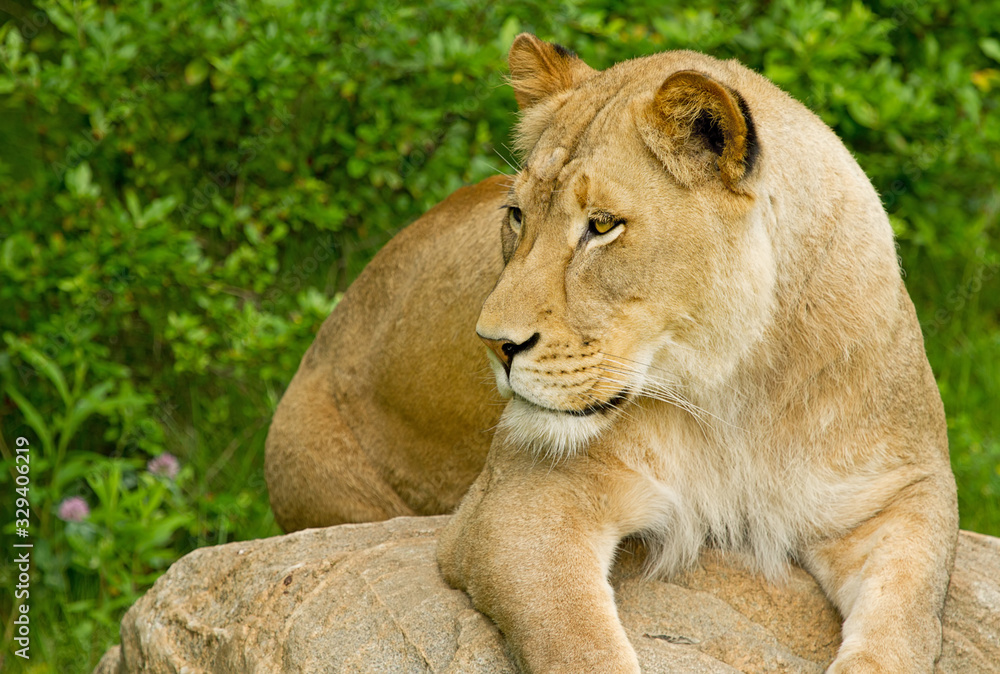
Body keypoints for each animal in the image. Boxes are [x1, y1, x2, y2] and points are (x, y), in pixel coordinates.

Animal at [267, 33, 958, 673]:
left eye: (602, 226)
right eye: (516, 215)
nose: (494, 344)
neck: (734, 391)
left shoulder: (904, 489)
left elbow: (906, 620)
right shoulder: (516, 506)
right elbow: (578, 642)